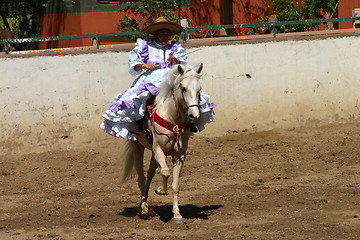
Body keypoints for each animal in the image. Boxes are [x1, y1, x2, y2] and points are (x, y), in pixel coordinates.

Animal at [117, 62, 202, 222]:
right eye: (183, 88)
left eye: (199, 89)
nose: (194, 115)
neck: (173, 119)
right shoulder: (159, 150)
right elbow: (165, 172)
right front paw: (160, 190)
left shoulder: (180, 155)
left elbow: (175, 184)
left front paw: (177, 214)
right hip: (137, 146)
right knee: (142, 177)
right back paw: (144, 209)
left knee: (150, 174)